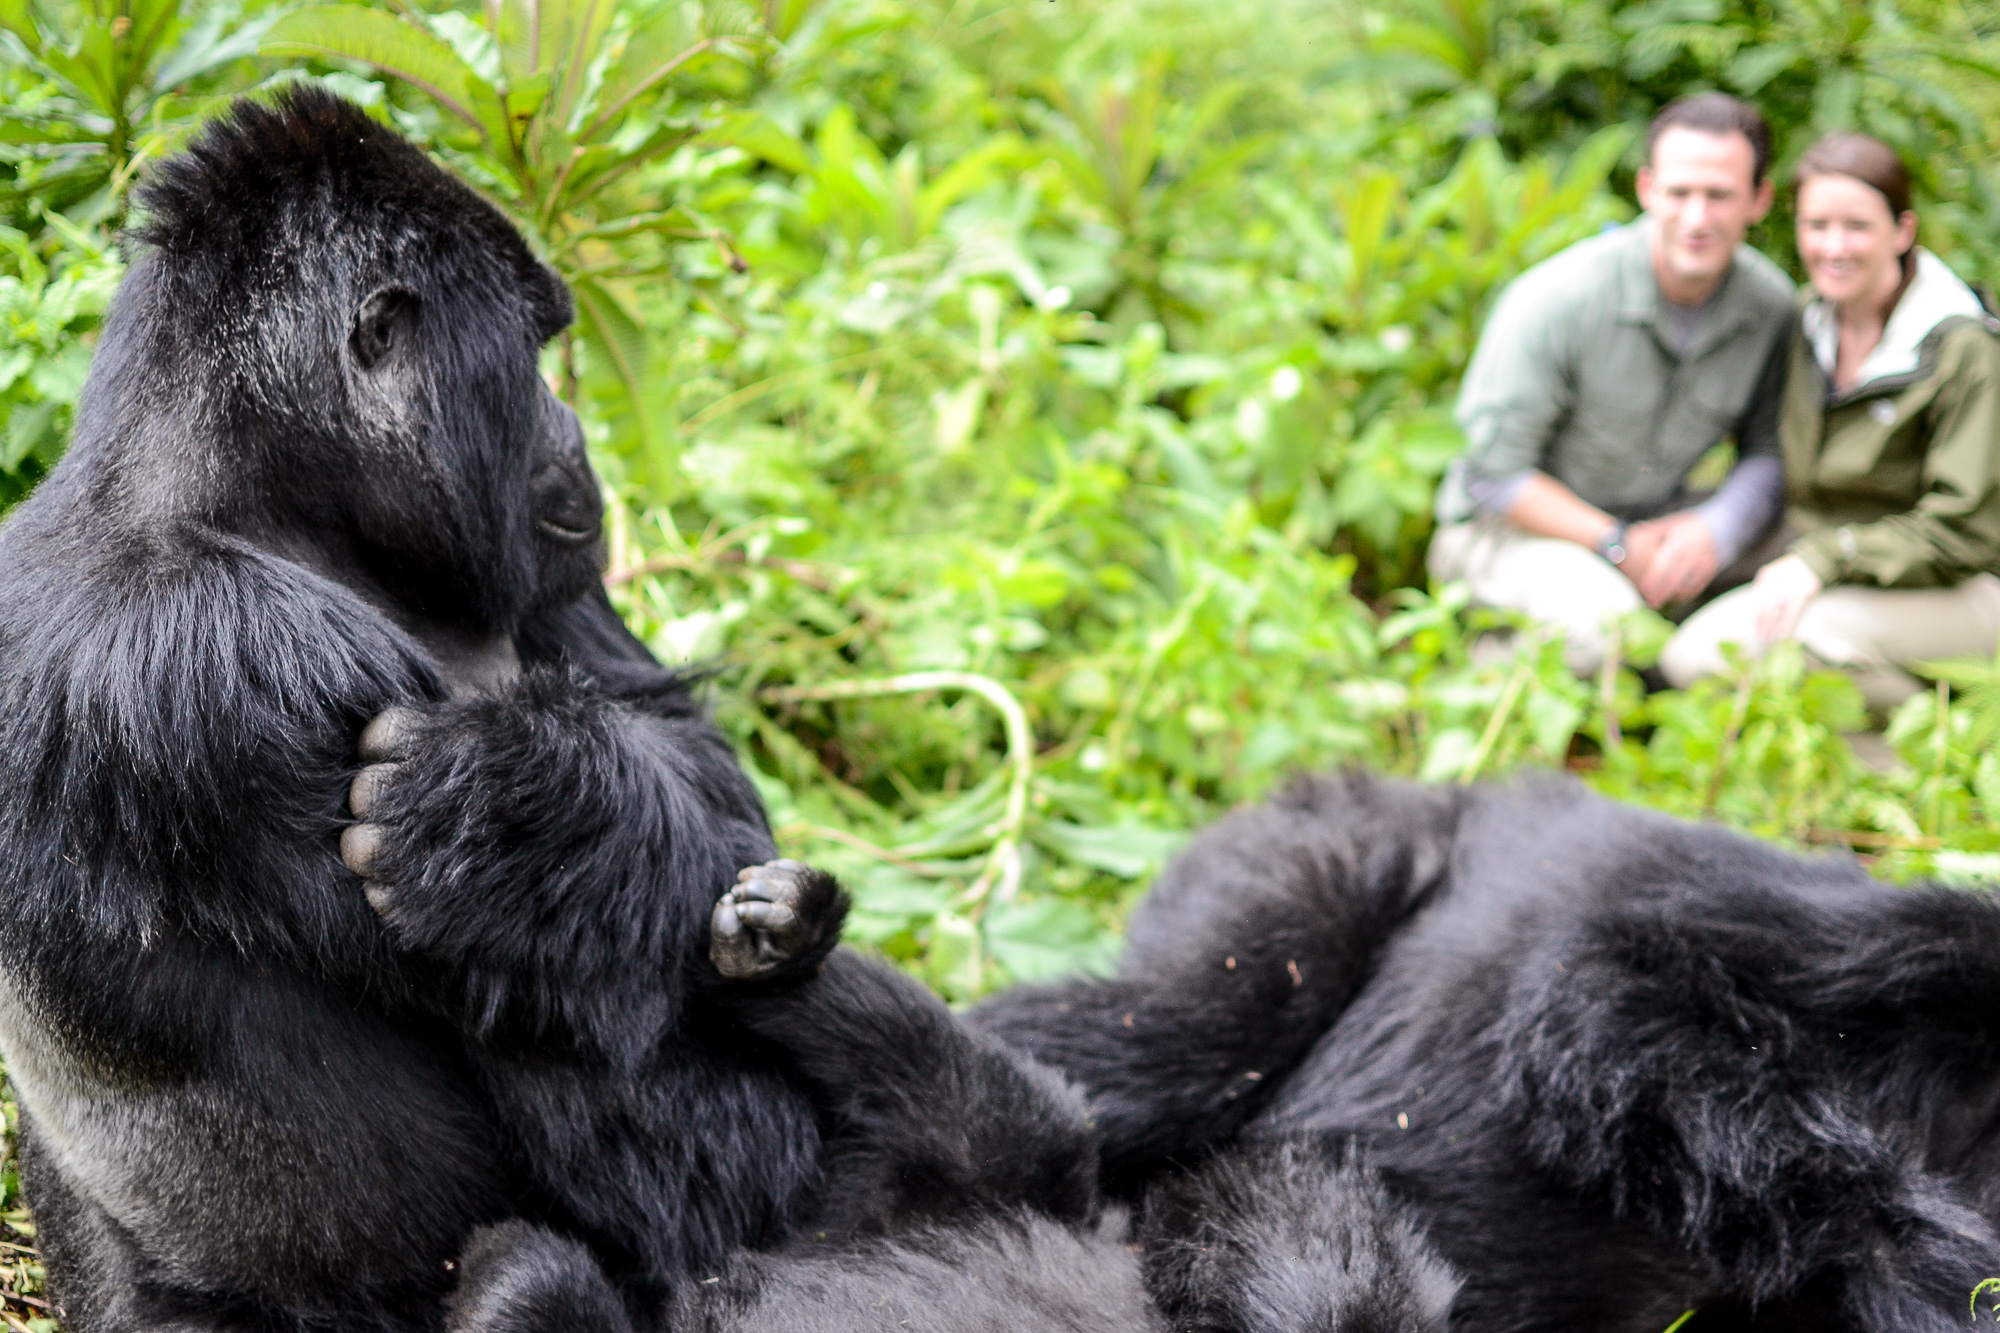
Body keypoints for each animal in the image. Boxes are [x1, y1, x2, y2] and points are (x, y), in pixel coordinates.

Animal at [0, 93, 1456, 1328]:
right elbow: (685, 1139)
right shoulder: (231, 667)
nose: (581, 447)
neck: (239, 488)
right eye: (536, 357)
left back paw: (790, 955)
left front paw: (544, 825)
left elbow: (678, 750)